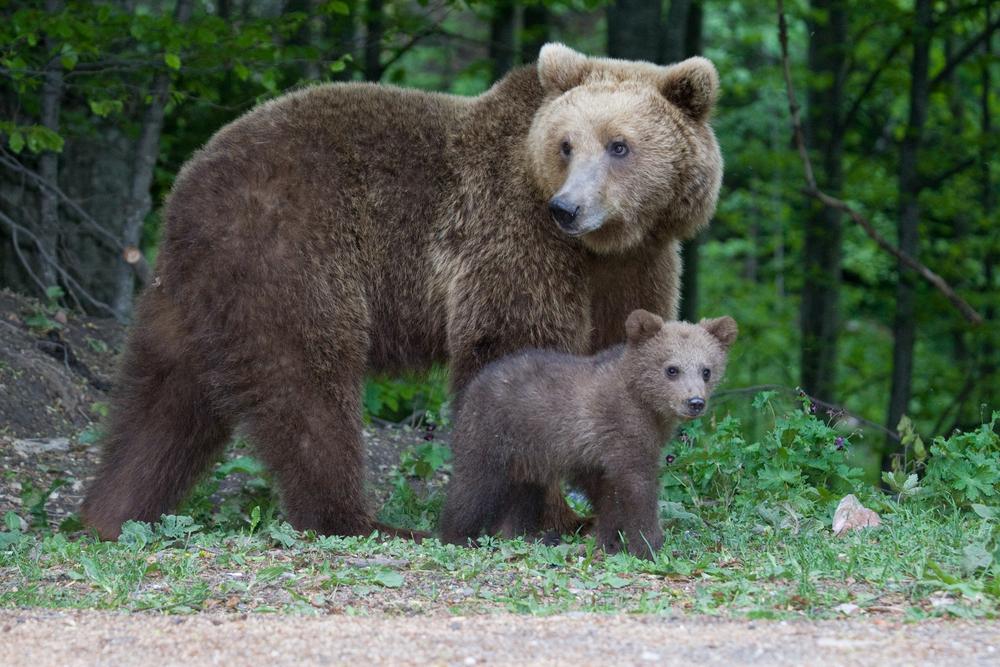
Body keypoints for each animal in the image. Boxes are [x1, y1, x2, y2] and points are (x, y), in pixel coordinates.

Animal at [81, 43, 723, 540]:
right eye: (566, 144)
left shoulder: (635, 267)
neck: (603, 245)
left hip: (187, 294)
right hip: (294, 255)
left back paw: (108, 514)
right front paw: (544, 518)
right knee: (307, 388)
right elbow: (513, 354)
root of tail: (190, 183)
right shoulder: (512, 239)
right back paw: (359, 520)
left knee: (160, 401)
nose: (567, 207)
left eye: (619, 145)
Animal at [438, 310, 738, 560]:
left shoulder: (606, 454)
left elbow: (610, 499)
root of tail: (477, 381)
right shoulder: (622, 431)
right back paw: (458, 536)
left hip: (531, 455)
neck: (645, 404)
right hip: (491, 433)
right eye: (672, 369)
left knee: (524, 495)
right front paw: (651, 545)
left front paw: (608, 542)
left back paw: (525, 535)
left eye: (706, 370)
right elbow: (637, 488)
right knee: (473, 486)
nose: (695, 402)